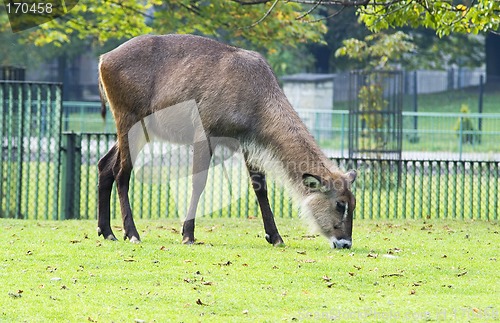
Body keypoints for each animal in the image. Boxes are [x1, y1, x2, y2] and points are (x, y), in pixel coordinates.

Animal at [96, 33, 356, 251]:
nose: (345, 243)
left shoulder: (247, 144)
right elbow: (198, 182)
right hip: (129, 121)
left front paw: (275, 236)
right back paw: (131, 233)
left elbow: (260, 187)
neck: (256, 94)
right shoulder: (205, 134)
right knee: (122, 172)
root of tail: (103, 59)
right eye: (339, 204)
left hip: (139, 131)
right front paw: (188, 235)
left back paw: (107, 232)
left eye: (354, 204)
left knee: (105, 165)